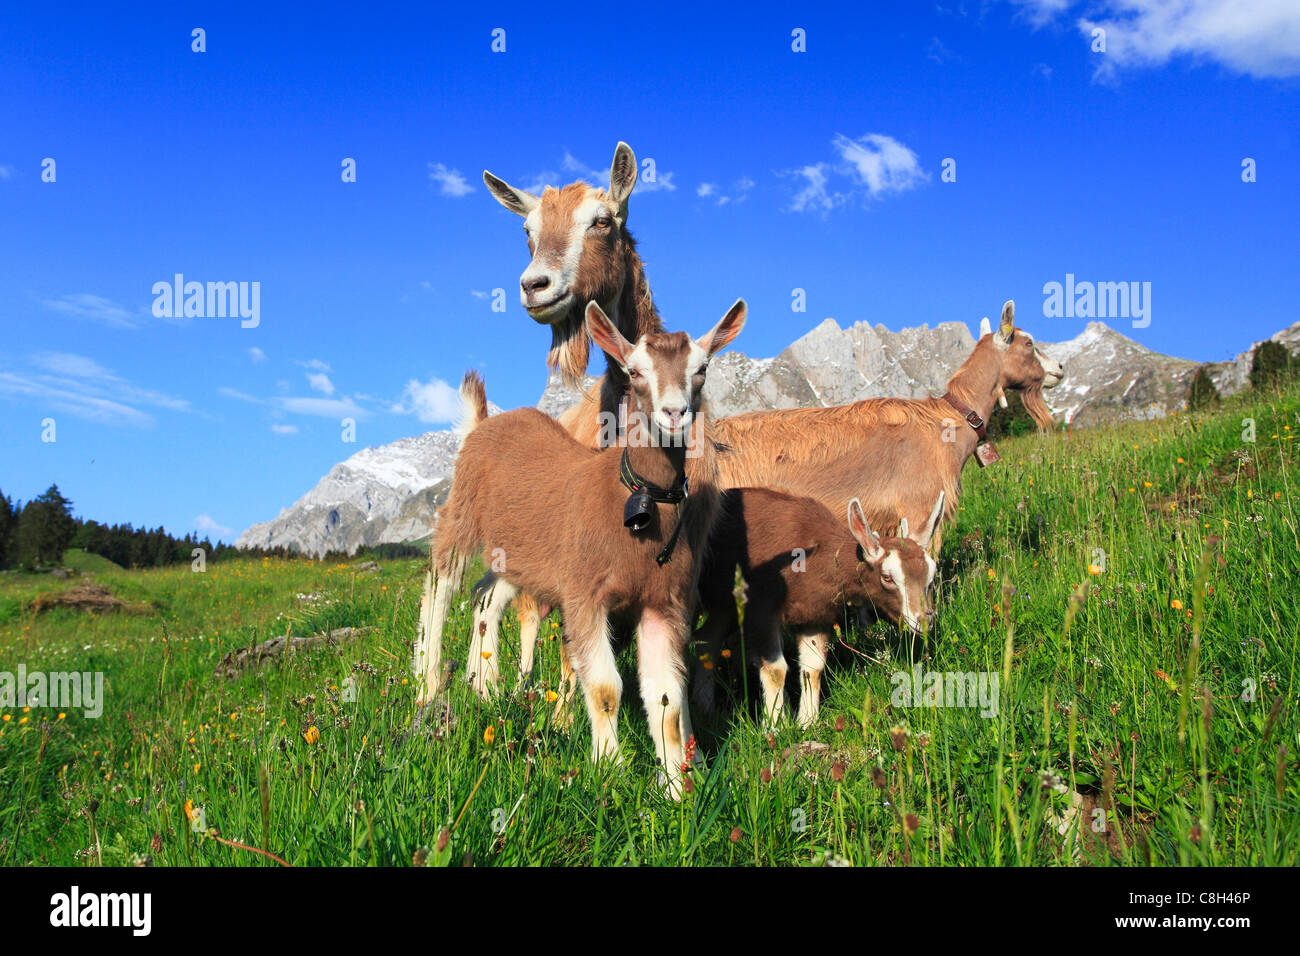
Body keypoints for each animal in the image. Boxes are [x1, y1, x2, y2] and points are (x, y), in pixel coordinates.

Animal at [410, 303, 748, 796]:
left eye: (702, 368)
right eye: (634, 371)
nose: (674, 413)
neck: (631, 496)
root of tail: (484, 422)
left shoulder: (661, 602)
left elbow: (667, 697)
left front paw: (677, 787)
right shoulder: (585, 593)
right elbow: (606, 687)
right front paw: (610, 768)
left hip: (519, 552)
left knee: (485, 595)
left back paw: (486, 688)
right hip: (462, 510)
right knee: (440, 583)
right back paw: (428, 684)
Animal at [696, 489, 941, 728]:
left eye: (931, 575)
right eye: (887, 577)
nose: (924, 619)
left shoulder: (816, 615)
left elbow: (812, 667)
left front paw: (807, 722)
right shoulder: (761, 610)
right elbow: (776, 670)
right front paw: (775, 726)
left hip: (725, 607)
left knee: (706, 641)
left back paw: (706, 708)